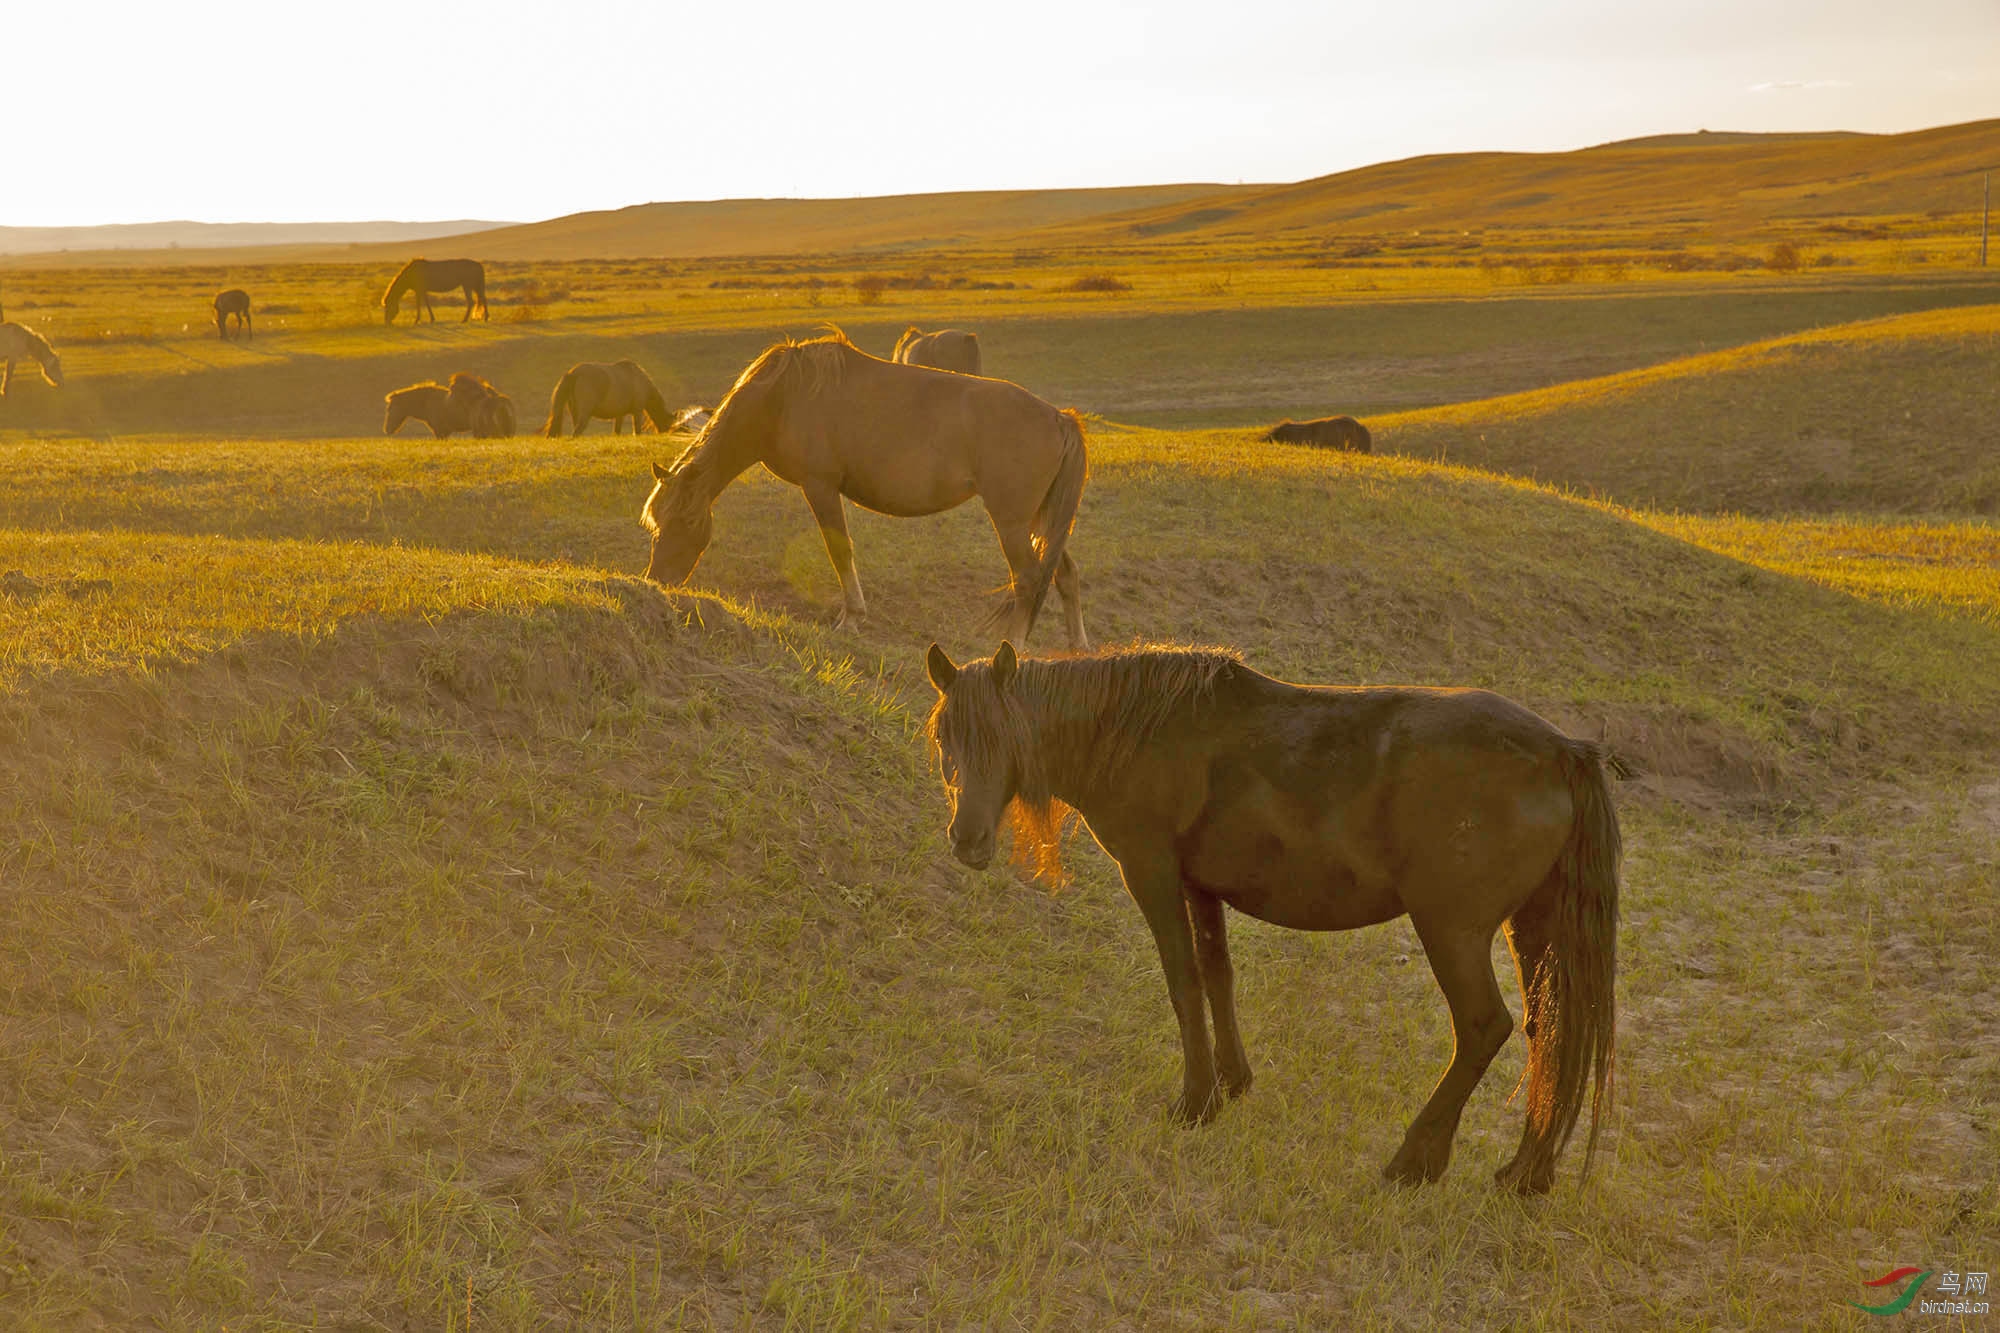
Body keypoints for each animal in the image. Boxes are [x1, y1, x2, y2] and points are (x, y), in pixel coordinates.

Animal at [544, 356, 676, 434]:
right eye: (669, 426)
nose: (664, 433)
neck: (640, 380)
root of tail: (573, 373)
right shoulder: (637, 411)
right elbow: (637, 431)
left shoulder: (619, 415)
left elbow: (617, 432)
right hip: (584, 414)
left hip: (575, 412)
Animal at [644, 330, 1088, 644]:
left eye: (683, 522)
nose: (657, 580)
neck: (782, 396)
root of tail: (1058, 417)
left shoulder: (820, 487)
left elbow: (839, 550)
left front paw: (851, 618)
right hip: (1038, 521)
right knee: (1063, 573)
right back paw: (1077, 649)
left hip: (1011, 523)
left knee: (1028, 579)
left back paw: (1013, 648)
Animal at [928, 640, 1616, 1184]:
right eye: (945, 737)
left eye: (1002, 735)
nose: (967, 841)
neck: (1135, 732)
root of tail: (1560, 750)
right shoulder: (1201, 888)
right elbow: (1217, 977)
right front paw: (1232, 1083)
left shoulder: (1152, 874)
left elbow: (1183, 983)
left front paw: (1195, 1102)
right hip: (1532, 929)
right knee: (1551, 1029)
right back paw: (1525, 1172)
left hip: (1453, 932)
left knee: (1483, 1028)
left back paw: (1414, 1161)